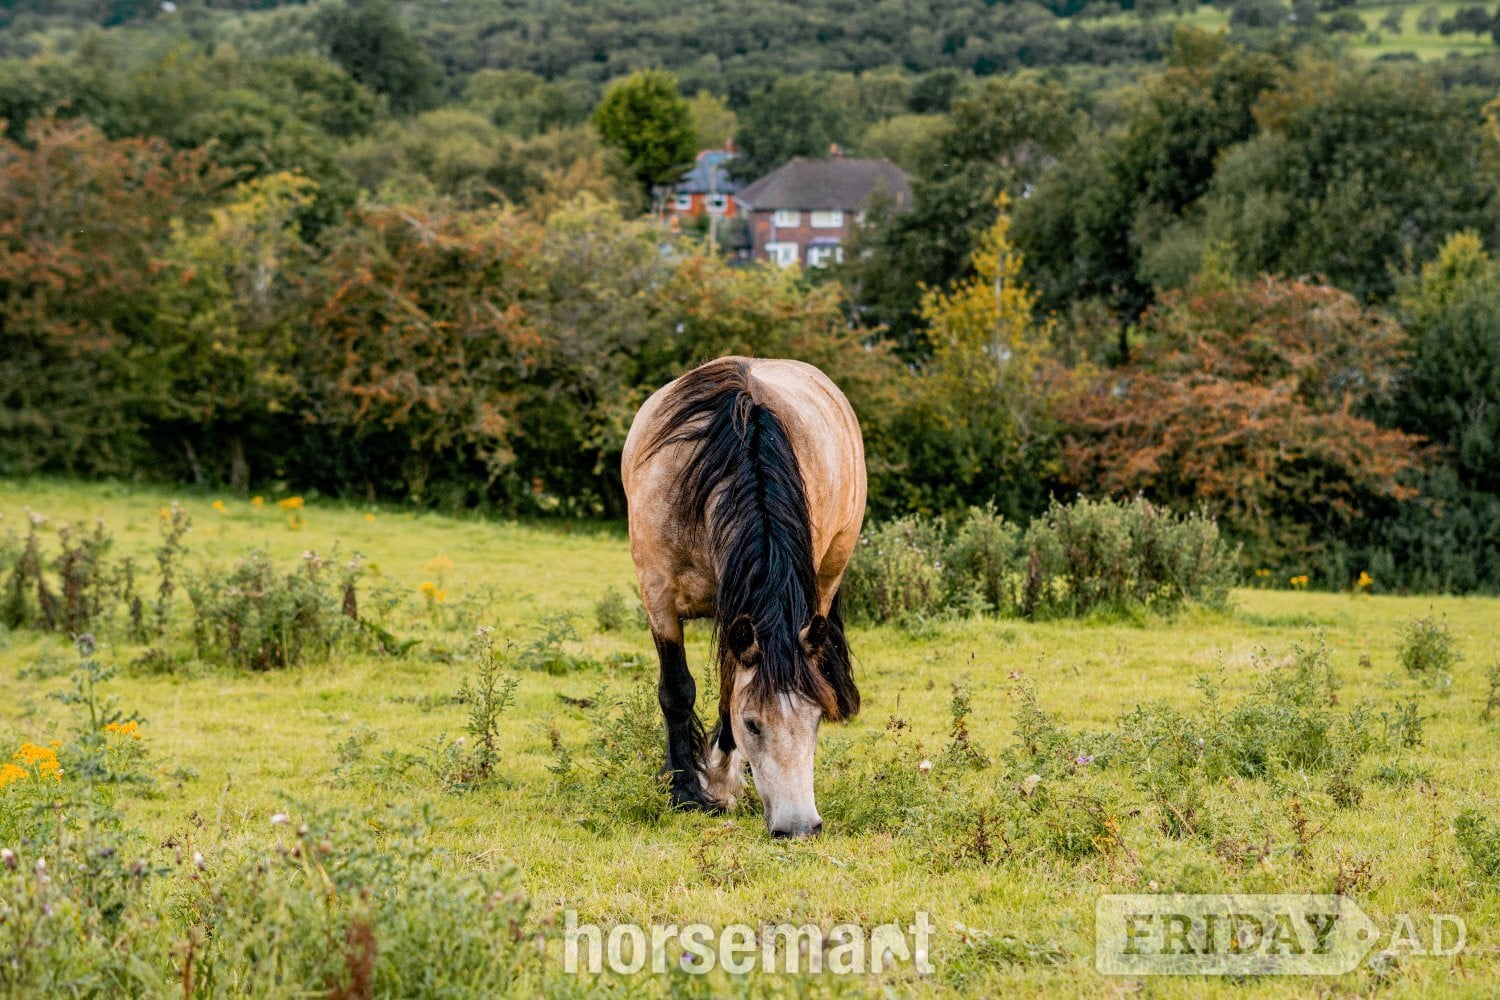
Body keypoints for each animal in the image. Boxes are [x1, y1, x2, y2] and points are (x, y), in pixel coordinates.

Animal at [621, 356, 866, 839]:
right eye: (753, 723)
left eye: (817, 719)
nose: (799, 828)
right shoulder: (658, 596)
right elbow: (677, 691)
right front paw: (686, 792)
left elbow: (727, 691)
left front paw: (719, 778)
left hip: (827, 577)